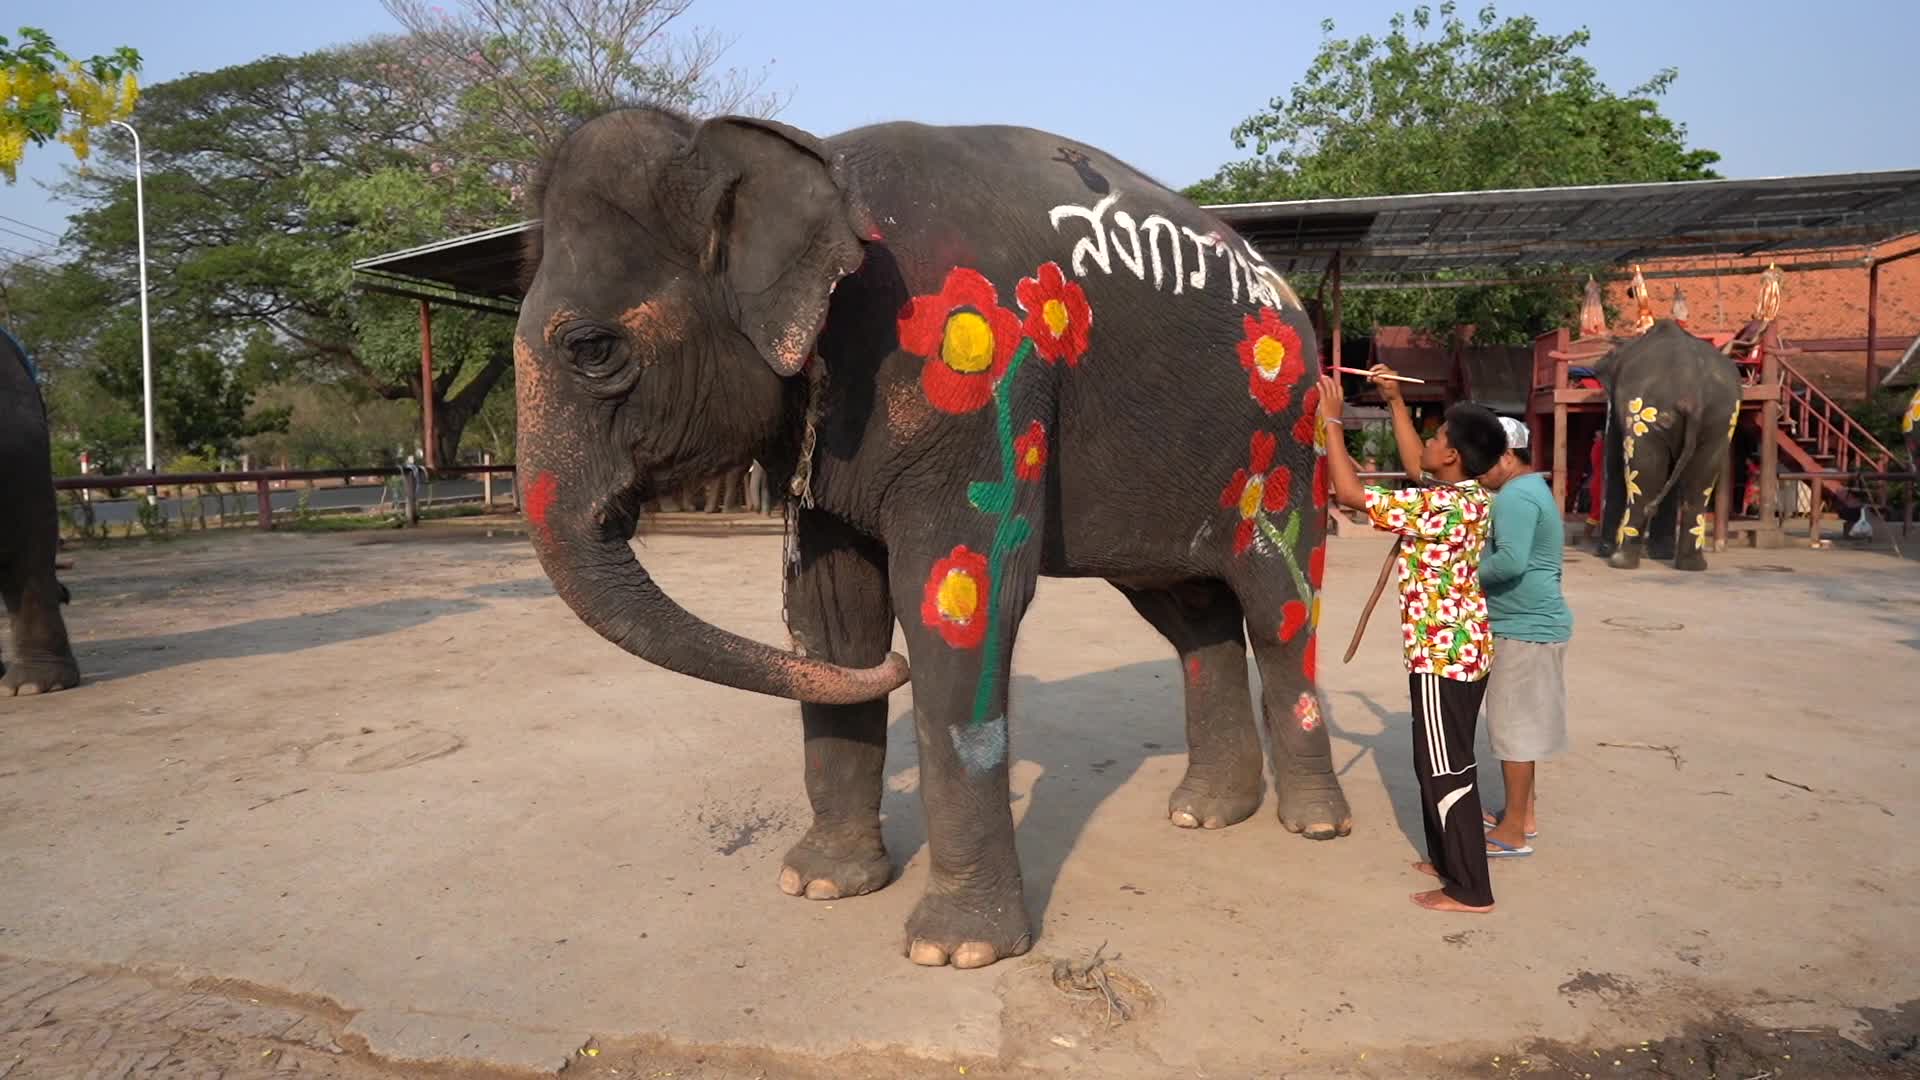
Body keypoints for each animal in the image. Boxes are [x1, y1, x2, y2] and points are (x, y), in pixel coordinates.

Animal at [513, 108, 1346, 969]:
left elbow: (959, 603)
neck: (821, 164)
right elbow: (832, 614)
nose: (895, 671)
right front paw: (822, 886)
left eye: (592, 349)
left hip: (1289, 446)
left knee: (1279, 611)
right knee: (1191, 614)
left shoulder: (986, 384)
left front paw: (956, 952)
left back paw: (1313, 824)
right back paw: (1206, 813)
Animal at [1591, 320, 1742, 571]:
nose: (1601, 550)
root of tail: (1693, 394)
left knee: (1644, 474)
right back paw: (1692, 565)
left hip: (1647, 415)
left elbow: (1613, 463)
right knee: (1699, 483)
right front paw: (1661, 553)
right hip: (1721, 421)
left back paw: (1620, 561)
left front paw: (1603, 552)